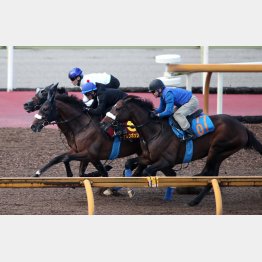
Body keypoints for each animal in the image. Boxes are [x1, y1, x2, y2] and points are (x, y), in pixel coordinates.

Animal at [102, 95, 262, 206]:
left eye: (117, 108)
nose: (103, 124)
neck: (154, 131)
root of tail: (243, 128)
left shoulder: (166, 160)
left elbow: (148, 171)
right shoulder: (148, 157)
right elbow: (129, 164)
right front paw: (125, 189)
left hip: (217, 149)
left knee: (209, 173)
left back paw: (193, 197)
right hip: (220, 154)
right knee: (212, 175)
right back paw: (194, 199)